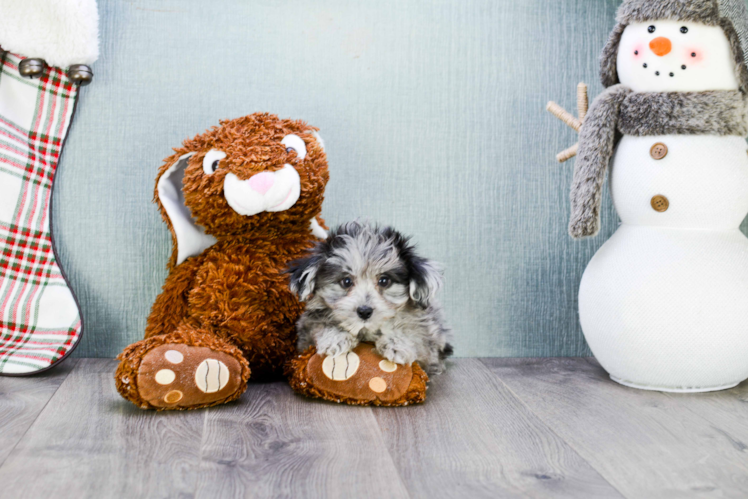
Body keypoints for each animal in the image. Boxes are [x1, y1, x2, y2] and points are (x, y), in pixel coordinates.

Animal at [286, 221, 450, 374]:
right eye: (346, 281)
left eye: (384, 281)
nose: (364, 312)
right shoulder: (304, 334)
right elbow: (318, 326)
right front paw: (336, 338)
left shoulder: (430, 348)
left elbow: (416, 336)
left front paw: (396, 344)